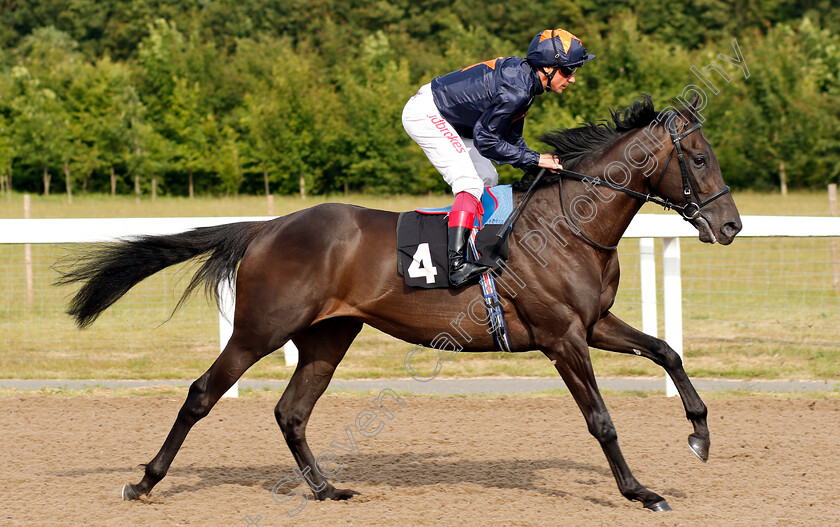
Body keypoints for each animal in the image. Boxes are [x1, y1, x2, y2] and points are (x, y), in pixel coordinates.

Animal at [57, 95, 740, 512]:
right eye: (698, 158)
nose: (730, 226)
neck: (570, 223)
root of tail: (268, 226)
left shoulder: (593, 323)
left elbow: (666, 351)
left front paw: (700, 435)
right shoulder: (561, 338)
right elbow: (600, 419)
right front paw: (640, 490)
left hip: (328, 335)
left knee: (291, 411)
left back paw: (327, 489)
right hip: (260, 330)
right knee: (203, 393)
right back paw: (144, 481)